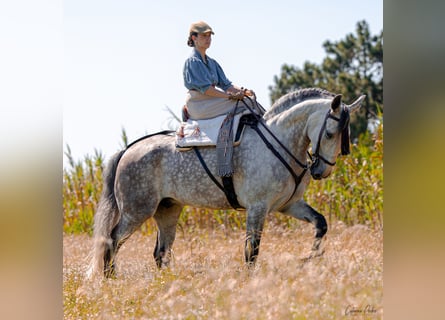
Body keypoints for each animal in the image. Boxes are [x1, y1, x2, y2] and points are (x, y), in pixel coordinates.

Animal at [86, 87, 364, 278]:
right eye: (330, 133)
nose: (321, 171)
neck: (279, 141)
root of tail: (127, 150)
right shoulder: (257, 208)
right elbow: (252, 251)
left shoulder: (289, 205)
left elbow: (320, 224)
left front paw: (310, 257)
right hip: (136, 212)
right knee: (111, 240)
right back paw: (111, 278)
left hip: (168, 210)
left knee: (160, 253)